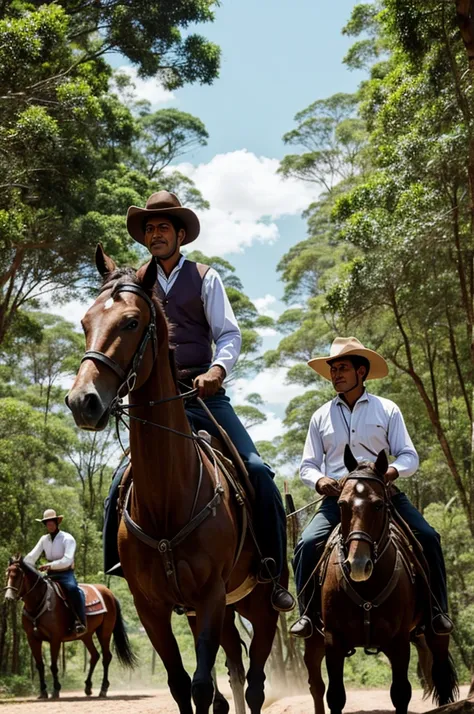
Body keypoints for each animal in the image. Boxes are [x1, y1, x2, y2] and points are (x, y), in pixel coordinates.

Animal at [4, 552, 136, 700]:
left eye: (18, 575)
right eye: (7, 573)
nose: (8, 597)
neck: (39, 603)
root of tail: (109, 593)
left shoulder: (55, 638)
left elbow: (53, 665)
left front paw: (56, 690)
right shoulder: (32, 639)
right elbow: (40, 665)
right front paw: (43, 692)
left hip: (105, 632)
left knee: (106, 657)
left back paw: (103, 689)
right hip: (86, 635)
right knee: (95, 655)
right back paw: (88, 687)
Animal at [65, 248, 284, 712]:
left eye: (131, 322)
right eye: (85, 321)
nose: (82, 401)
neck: (168, 496)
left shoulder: (211, 595)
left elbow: (201, 685)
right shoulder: (153, 607)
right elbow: (184, 686)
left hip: (259, 603)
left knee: (255, 682)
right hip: (220, 612)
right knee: (235, 670)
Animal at [302, 444, 458, 712]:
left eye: (378, 505)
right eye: (341, 504)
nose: (357, 565)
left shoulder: (399, 642)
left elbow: (401, 694)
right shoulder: (333, 640)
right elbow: (335, 696)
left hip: (436, 632)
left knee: (440, 675)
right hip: (313, 641)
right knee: (316, 686)